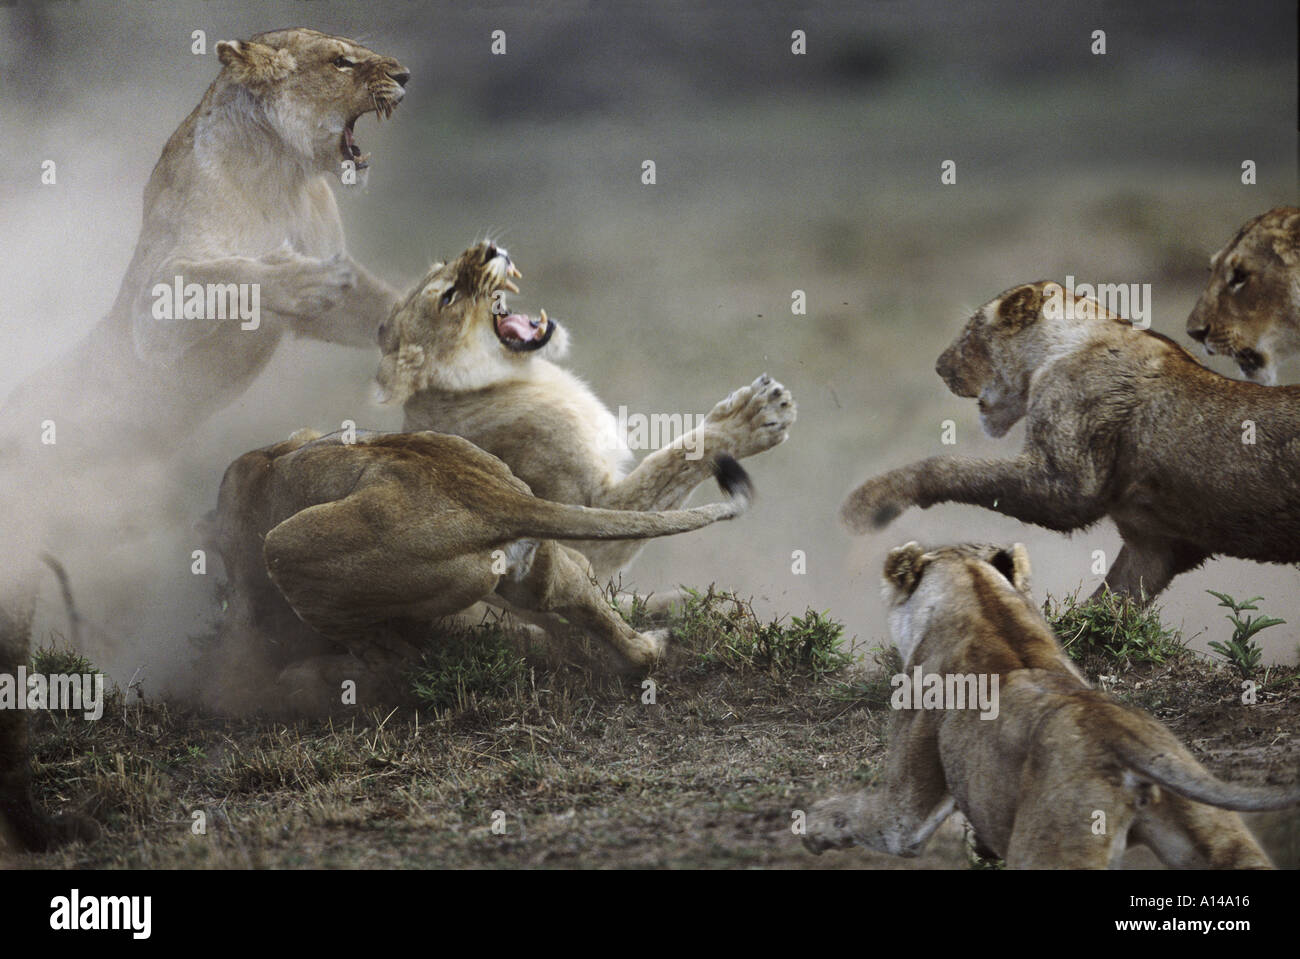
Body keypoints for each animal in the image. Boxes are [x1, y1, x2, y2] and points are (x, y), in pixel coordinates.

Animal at [0, 27, 408, 852]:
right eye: (342, 60)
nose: (407, 76)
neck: (282, 170)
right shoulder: (156, 312)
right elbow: (229, 273)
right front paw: (289, 275)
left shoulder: (346, 290)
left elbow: (385, 305)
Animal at [203, 427, 752, 713]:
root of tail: (490, 495)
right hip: (537, 571)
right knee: (589, 605)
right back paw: (648, 647)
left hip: (289, 549)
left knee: (400, 661)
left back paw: (320, 680)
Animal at [373, 240, 796, 584]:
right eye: (448, 297)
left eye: (445, 262)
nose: (487, 247)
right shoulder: (589, 523)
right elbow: (671, 462)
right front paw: (753, 416)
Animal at [803, 542, 1299, 868]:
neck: (980, 597)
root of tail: (1120, 730)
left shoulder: (905, 808)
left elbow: (867, 815)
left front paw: (812, 826)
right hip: (1218, 840)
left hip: (1053, 844)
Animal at [841, 281, 1300, 602]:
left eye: (970, 332)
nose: (939, 367)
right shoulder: (1155, 544)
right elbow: (1109, 604)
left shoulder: (1065, 485)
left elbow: (948, 467)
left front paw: (871, 501)